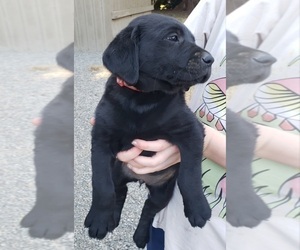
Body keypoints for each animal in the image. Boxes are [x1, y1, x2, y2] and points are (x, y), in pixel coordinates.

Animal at [84, 14, 213, 248]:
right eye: (173, 38)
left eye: (193, 39)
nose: (210, 60)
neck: (144, 99)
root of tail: (138, 178)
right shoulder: (101, 138)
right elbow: (101, 185)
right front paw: (98, 219)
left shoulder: (192, 131)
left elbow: (189, 176)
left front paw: (198, 208)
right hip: (117, 171)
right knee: (119, 191)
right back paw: (111, 219)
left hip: (162, 191)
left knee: (149, 208)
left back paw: (140, 235)